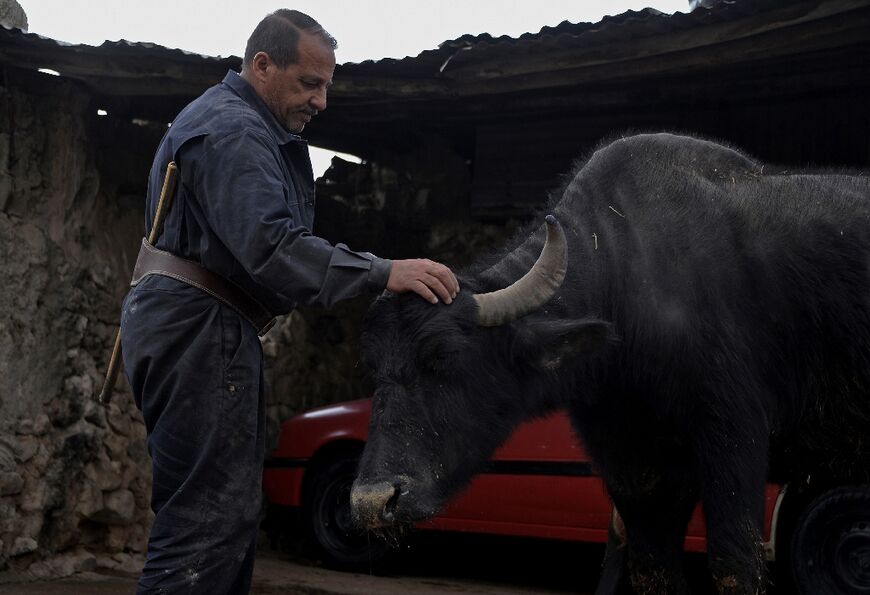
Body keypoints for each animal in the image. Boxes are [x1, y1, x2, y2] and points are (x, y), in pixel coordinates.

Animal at [348, 133, 870, 592]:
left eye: (444, 359)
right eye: (374, 370)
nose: (373, 502)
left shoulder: (735, 437)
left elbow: (734, 566)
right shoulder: (631, 459)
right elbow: (652, 569)